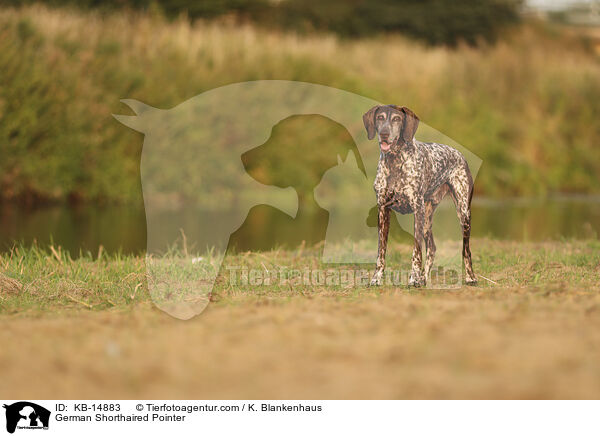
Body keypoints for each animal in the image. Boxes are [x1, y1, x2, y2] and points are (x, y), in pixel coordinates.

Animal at [364, 105, 476, 286]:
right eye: (380, 117)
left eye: (397, 119)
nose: (384, 134)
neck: (395, 160)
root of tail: (458, 153)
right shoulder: (383, 210)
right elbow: (381, 252)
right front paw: (376, 278)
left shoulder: (417, 209)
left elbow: (416, 252)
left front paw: (413, 278)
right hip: (427, 219)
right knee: (432, 248)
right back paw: (424, 278)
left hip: (463, 213)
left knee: (466, 251)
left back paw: (470, 277)